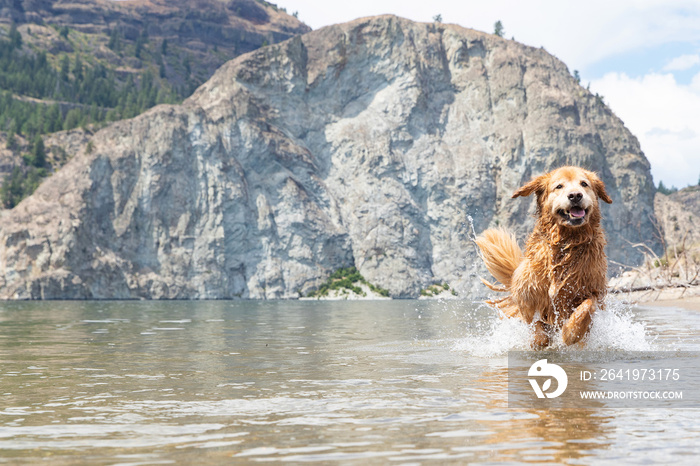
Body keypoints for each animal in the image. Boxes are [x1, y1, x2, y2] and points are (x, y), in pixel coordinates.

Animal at [476, 167, 612, 346]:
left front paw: (570, 333)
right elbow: (536, 323)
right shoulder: (526, 295)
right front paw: (541, 339)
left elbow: (586, 307)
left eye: (584, 184)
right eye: (559, 186)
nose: (575, 195)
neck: (566, 244)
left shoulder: (594, 290)